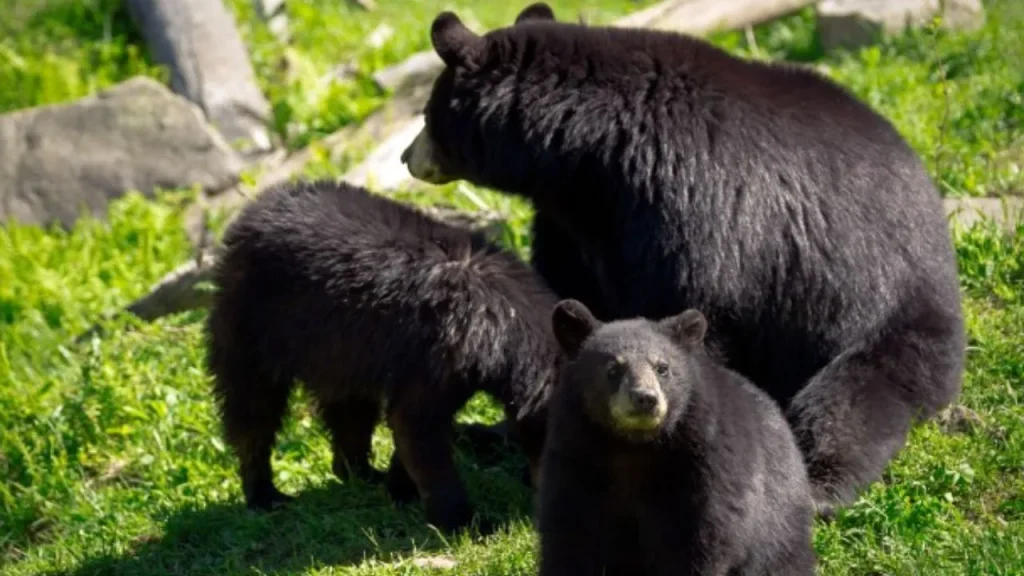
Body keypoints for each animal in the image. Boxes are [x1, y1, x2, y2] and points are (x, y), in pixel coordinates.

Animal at [206, 178, 557, 528]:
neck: (505, 317)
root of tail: (253, 208)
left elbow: (409, 428)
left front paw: (399, 488)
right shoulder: (443, 350)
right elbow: (416, 424)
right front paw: (464, 522)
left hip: (339, 348)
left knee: (351, 411)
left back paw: (360, 473)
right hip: (251, 321)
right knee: (253, 407)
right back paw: (265, 494)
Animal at [401, 2, 966, 512]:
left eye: (426, 115)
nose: (406, 157)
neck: (590, 156)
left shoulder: (691, 202)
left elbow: (688, 310)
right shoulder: (576, 223)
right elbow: (568, 304)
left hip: (882, 317)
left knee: (849, 404)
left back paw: (820, 484)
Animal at [536, 301, 815, 573]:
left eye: (662, 368)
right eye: (613, 369)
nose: (645, 398)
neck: (633, 446)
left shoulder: (706, 464)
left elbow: (700, 537)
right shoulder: (576, 454)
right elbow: (571, 530)